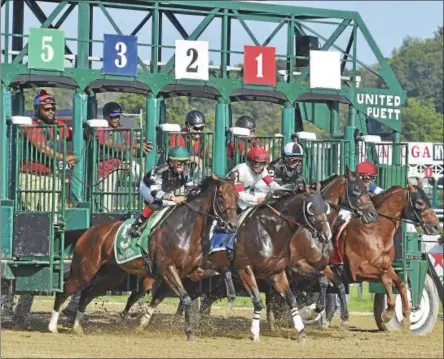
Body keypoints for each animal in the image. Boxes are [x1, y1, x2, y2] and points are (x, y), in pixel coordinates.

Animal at [48, 174, 239, 340]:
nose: (232, 225)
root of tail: (88, 231)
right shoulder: (167, 269)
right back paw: (52, 327)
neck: (186, 228)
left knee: (87, 294)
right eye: (221, 196)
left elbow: (225, 271)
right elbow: (184, 298)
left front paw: (230, 301)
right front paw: (189, 332)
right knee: (66, 289)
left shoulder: (194, 270)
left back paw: (77, 327)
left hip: (111, 275)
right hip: (85, 270)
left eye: (237, 196)